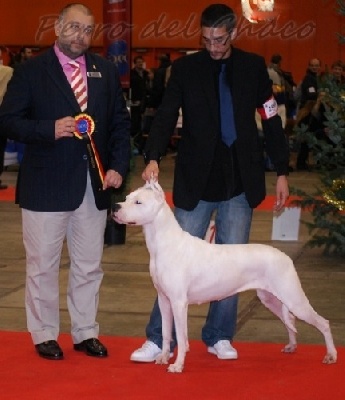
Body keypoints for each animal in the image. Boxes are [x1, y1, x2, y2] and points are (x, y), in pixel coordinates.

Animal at [112, 180, 336, 374]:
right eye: (127, 197)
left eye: (138, 202)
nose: (115, 207)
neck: (163, 243)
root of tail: (286, 257)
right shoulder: (164, 300)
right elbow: (167, 334)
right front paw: (163, 358)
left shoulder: (178, 303)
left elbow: (182, 339)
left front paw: (177, 365)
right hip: (271, 298)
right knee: (290, 321)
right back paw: (291, 346)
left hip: (293, 298)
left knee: (323, 322)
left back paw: (331, 355)